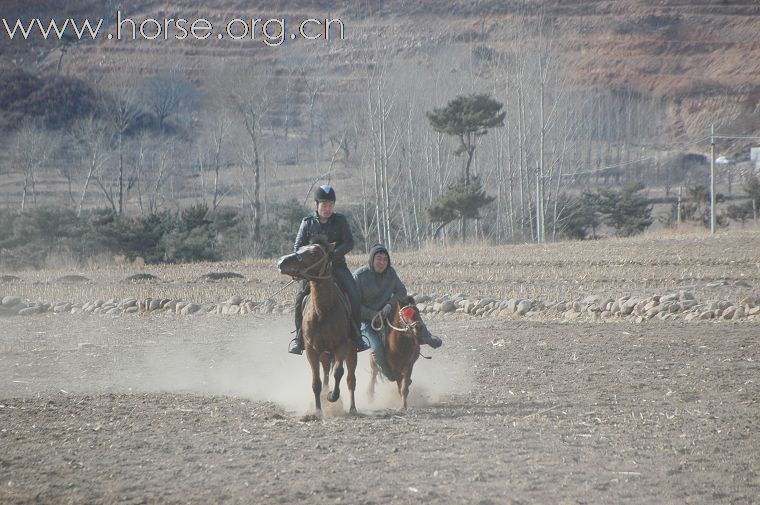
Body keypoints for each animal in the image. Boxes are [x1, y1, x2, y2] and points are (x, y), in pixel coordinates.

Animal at [274, 238, 358, 416]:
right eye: (300, 248)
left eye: (314, 253)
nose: (281, 262)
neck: (322, 311)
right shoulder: (312, 350)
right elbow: (316, 382)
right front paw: (318, 411)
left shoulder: (341, 346)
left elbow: (339, 372)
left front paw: (333, 396)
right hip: (324, 355)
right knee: (325, 375)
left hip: (351, 351)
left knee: (350, 379)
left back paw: (352, 408)